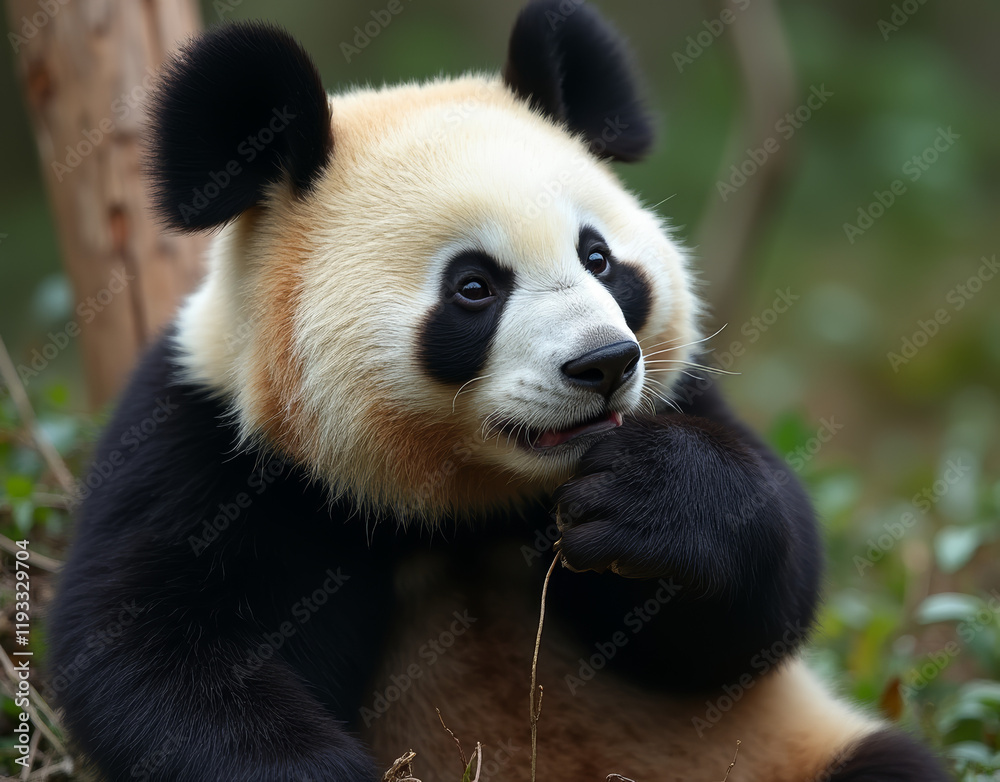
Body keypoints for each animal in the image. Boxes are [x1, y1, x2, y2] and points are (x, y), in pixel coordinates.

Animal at [49, 3, 950, 781]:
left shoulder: (679, 399)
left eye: (599, 258)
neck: (467, 504)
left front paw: (648, 497)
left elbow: (754, 610)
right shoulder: (214, 448)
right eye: (474, 287)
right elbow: (153, 650)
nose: (604, 364)